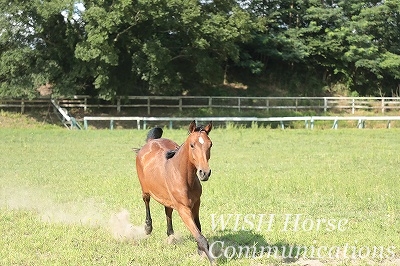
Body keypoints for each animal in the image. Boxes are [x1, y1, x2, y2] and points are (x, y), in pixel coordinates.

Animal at [135, 120, 216, 264]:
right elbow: (199, 235)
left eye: (210, 144)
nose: (204, 173)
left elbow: (198, 228)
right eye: (192, 145)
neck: (183, 176)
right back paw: (148, 228)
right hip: (145, 190)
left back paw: (171, 236)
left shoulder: (196, 204)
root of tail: (150, 142)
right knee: (146, 201)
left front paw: (200, 252)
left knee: (168, 211)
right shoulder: (183, 208)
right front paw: (211, 259)